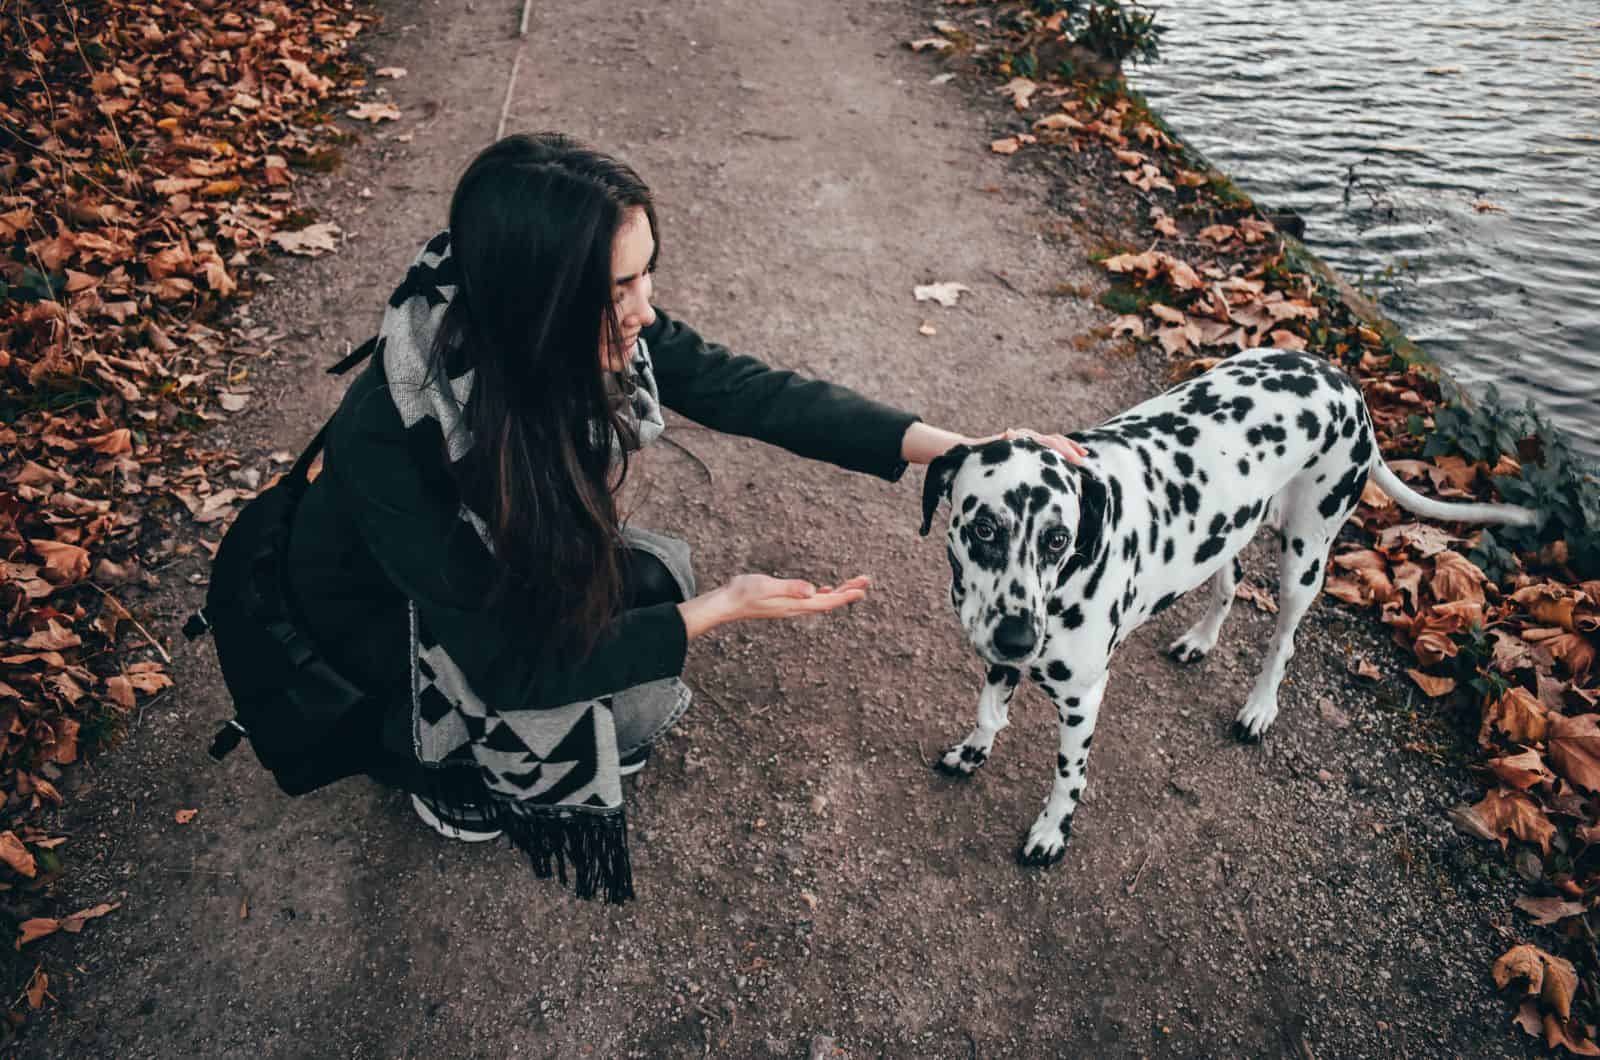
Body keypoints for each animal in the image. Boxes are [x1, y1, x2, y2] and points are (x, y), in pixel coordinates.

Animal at [921, 352, 1542, 871]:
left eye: (1057, 538)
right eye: (983, 527)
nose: (1019, 638)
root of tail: (1347, 385)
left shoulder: (1082, 699)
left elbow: (1067, 777)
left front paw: (1052, 832)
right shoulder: (1000, 656)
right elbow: (988, 712)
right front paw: (973, 751)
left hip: (1304, 559)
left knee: (1284, 639)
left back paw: (1259, 707)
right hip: (1227, 531)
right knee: (1231, 581)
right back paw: (1200, 639)